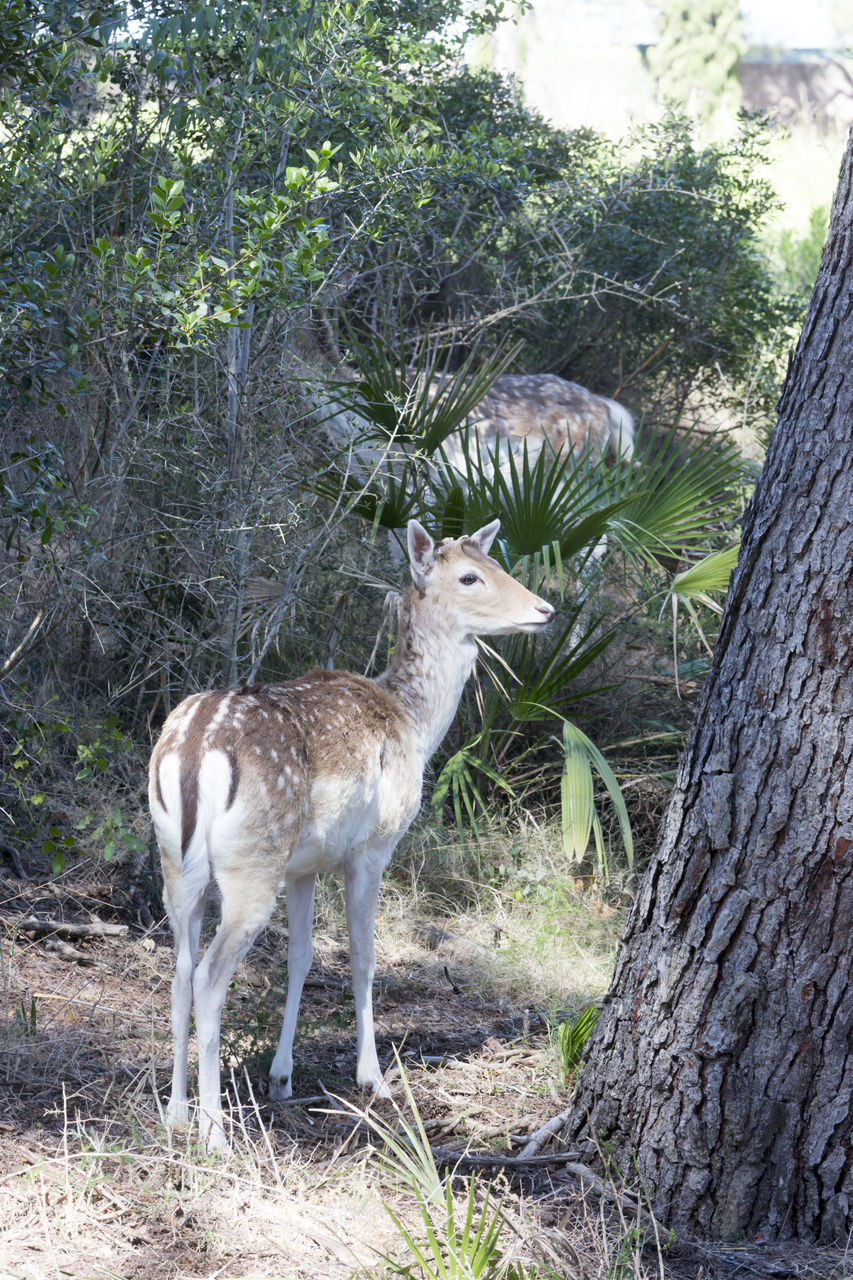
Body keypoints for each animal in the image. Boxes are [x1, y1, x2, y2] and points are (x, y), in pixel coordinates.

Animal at [149, 519, 555, 1152]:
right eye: (470, 576)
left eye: (496, 563)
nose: (545, 609)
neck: (416, 726)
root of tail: (193, 750)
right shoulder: (373, 846)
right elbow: (364, 955)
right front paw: (374, 1077)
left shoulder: (305, 865)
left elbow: (303, 956)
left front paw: (282, 1077)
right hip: (252, 863)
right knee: (211, 978)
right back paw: (215, 1133)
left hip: (176, 859)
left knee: (180, 974)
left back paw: (176, 1112)